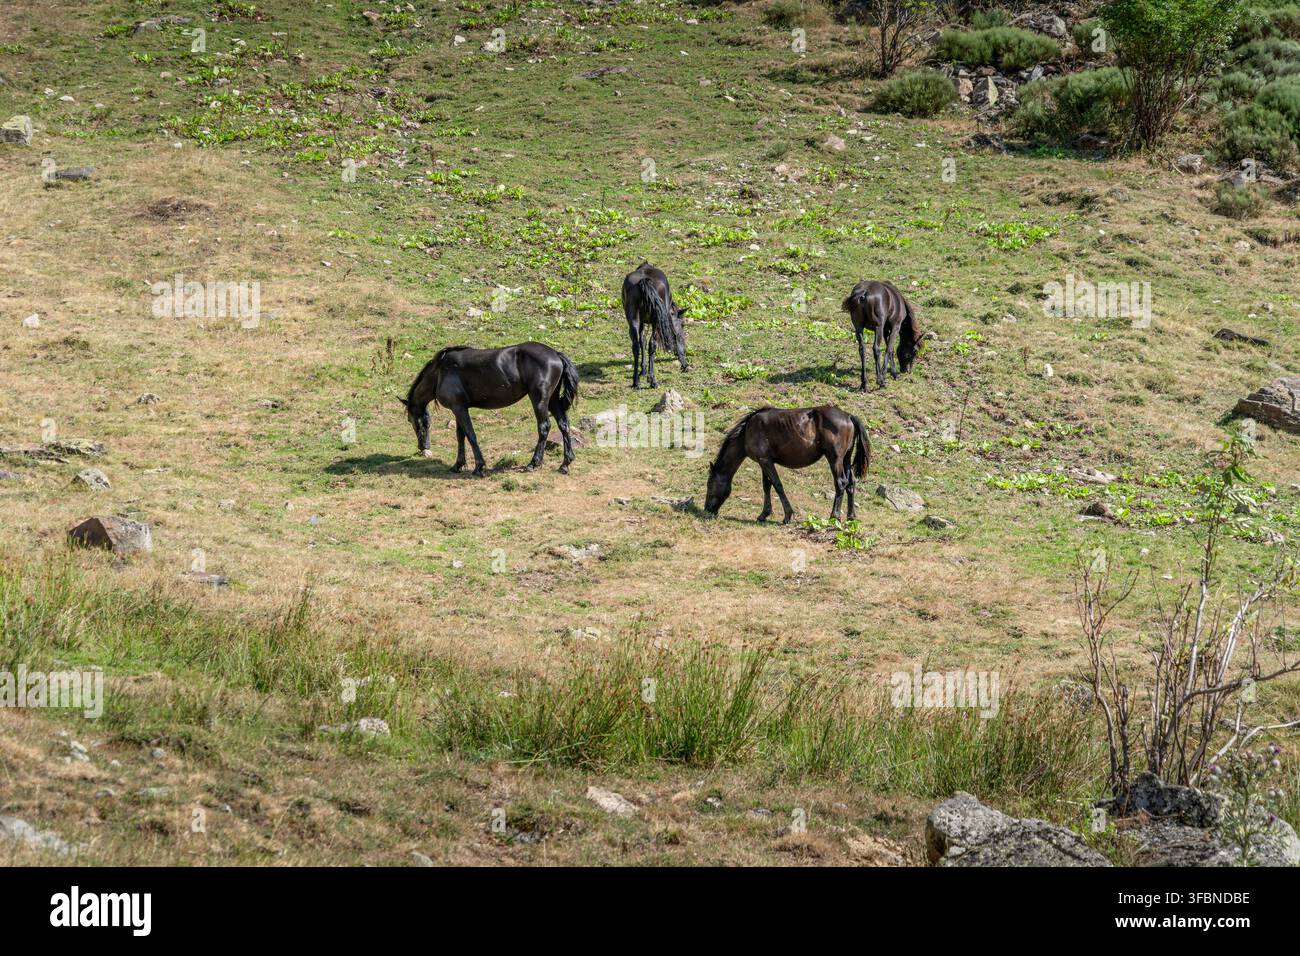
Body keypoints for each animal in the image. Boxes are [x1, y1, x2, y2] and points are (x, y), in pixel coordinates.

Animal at [400, 342, 579, 476]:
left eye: (410, 419)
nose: (423, 446)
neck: (440, 372)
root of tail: (555, 354)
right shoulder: (458, 408)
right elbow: (460, 436)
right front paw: (458, 465)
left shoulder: (459, 409)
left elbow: (470, 435)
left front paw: (479, 467)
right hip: (552, 400)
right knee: (563, 425)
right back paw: (565, 464)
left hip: (539, 400)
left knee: (544, 427)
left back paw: (533, 463)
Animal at [704, 405, 869, 524]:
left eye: (710, 485)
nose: (707, 510)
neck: (748, 431)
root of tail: (848, 416)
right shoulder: (764, 461)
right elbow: (767, 485)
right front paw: (764, 514)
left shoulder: (765, 461)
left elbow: (777, 485)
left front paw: (788, 515)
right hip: (846, 459)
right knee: (851, 483)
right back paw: (851, 517)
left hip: (835, 459)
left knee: (841, 483)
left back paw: (834, 517)